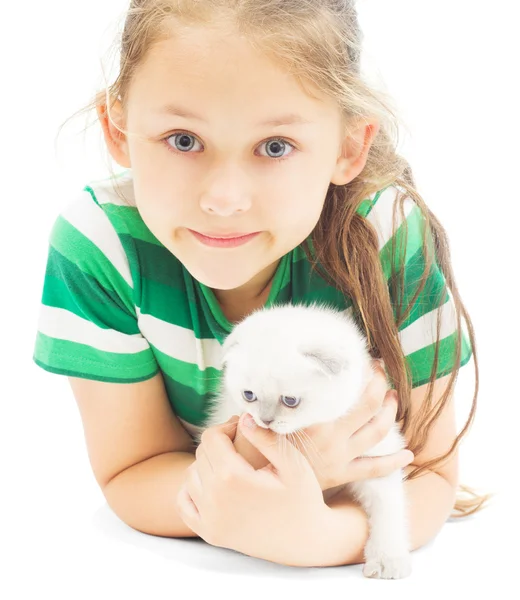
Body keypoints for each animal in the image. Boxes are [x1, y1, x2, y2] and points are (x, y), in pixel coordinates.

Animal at [197, 302, 412, 580]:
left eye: (290, 401)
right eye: (249, 395)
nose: (265, 420)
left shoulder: (379, 460)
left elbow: (388, 510)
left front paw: (388, 559)